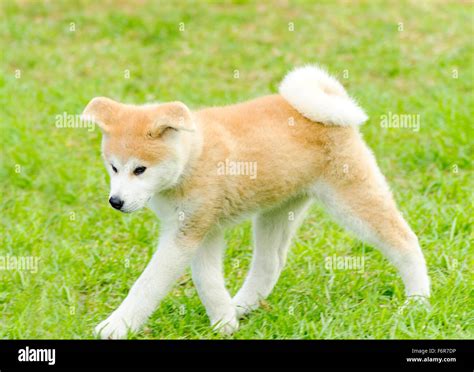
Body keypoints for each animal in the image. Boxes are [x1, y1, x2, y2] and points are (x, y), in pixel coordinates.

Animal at [83, 65, 432, 338]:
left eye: (139, 170)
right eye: (113, 168)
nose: (116, 201)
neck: (193, 156)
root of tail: (332, 107)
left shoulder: (187, 232)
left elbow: (148, 284)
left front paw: (116, 326)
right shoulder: (201, 230)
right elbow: (207, 279)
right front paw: (224, 322)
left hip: (352, 199)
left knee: (405, 240)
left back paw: (418, 300)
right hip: (278, 210)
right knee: (270, 263)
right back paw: (241, 305)